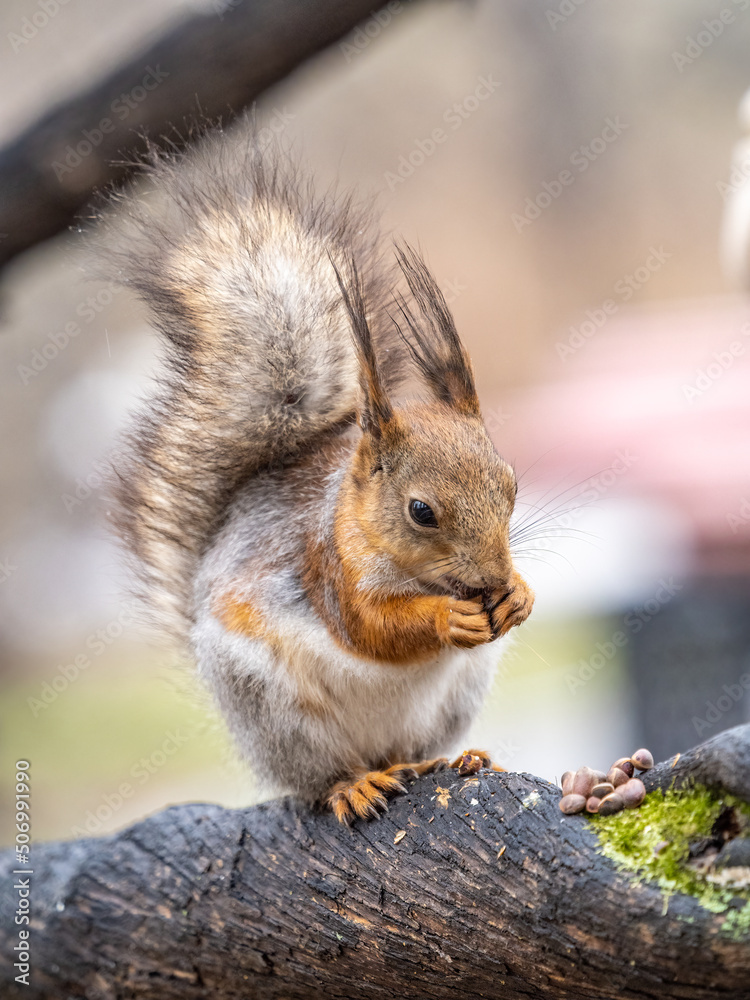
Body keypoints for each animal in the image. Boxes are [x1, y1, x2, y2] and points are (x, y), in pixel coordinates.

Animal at [96, 127, 535, 824]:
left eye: (512, 486)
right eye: (421, 511)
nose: (492, 579)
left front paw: (519, 594)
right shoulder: (329, 564)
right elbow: (372, 629)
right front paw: (447, 618)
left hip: (455, 697)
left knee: (408, 751)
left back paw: (444, 761)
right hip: (274, 708)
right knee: (319, 776)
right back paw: (351, 785)